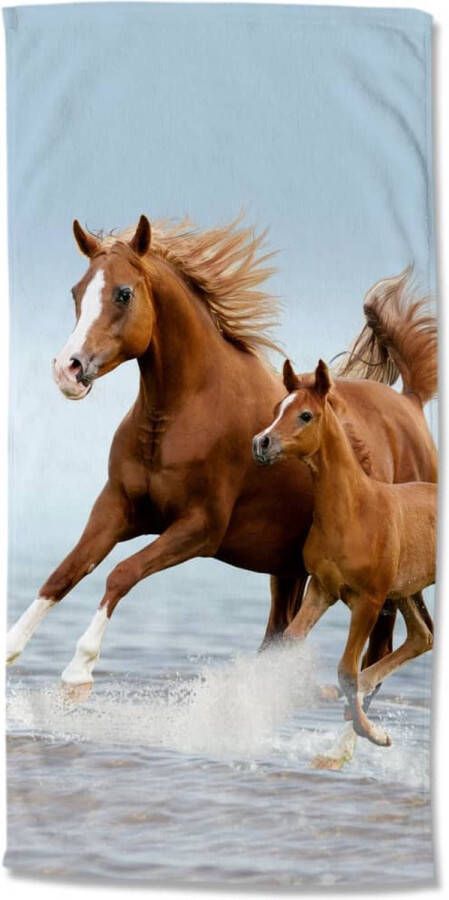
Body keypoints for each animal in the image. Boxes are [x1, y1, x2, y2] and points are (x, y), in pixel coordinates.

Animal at [6, 215, 437, 695]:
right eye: (76, 292)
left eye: (123, 293)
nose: (68, 369)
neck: (181, 414)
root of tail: (412, 402)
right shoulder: (117, 508)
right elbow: (65, 572)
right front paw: (12, 648)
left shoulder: (199, 528)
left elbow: (122, 572)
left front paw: (79, 668)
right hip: (288, 569)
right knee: (282, 637)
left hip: (387, 582)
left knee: (382, 651)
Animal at [253, 357, 436, 748]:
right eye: (277, 409)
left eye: (305, 415)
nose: (261, 443)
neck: (354, 511)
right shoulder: (322, 588)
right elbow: (291, 641)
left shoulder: (369, 600)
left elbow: (346, 669)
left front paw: (372, 733)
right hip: (405, 590)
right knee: (421, 635)